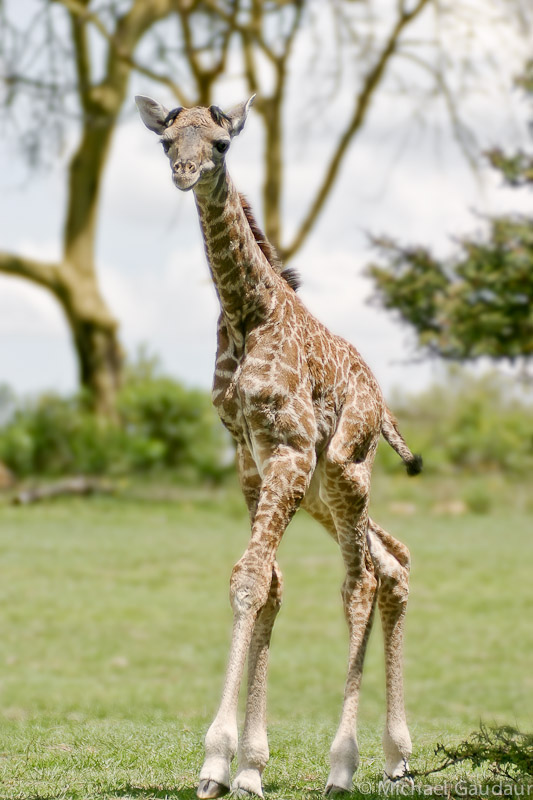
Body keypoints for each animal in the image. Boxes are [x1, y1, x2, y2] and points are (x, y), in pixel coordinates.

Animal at [134, 95, 420, 800]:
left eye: (222, 143)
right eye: (166, 142)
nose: (184, 173)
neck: (248, 311)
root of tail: (383, 402)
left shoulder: (286, 448)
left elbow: (250, 577)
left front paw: (217, 759)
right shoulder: (249, 455)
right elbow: (269, 584)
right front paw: (248, 765)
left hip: (342, 466)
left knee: (361, 580)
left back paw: (344, 763)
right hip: (319, 490)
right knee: (394, 562)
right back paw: (396, 755)